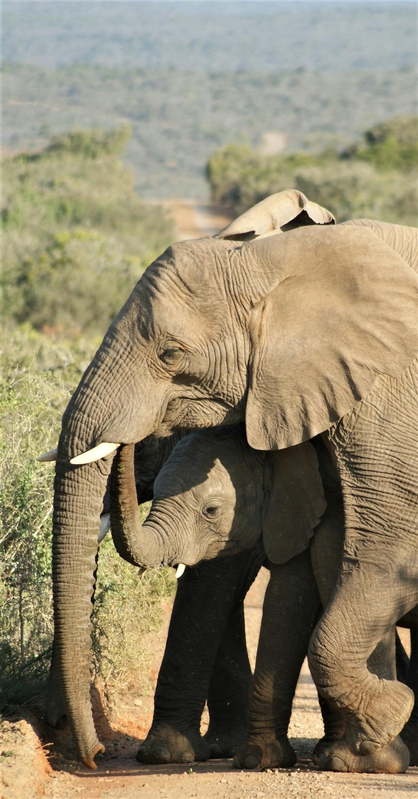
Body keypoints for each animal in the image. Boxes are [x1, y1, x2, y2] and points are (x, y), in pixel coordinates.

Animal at [42, 186, 418, 771]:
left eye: (170, 353)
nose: (92, 754)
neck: (281, 262)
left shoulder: (387, 395)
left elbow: (382, 547)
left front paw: (377, 736)